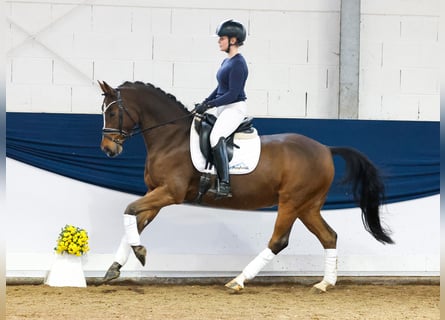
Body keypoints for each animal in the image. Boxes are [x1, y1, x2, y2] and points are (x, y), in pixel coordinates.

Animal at [98, 80, 392, 292]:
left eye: (112, 112)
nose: (108, 149)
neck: (171, 138)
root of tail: (325, 149)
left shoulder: (170, 192)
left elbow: (129, 209)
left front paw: (139, 253)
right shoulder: (156, 193)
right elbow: (134, 223)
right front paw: (114, 267)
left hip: (291, 202)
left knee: (278, 240)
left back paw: (238, 281)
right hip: (308, 206)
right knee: (329, 236)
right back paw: (324, 283)